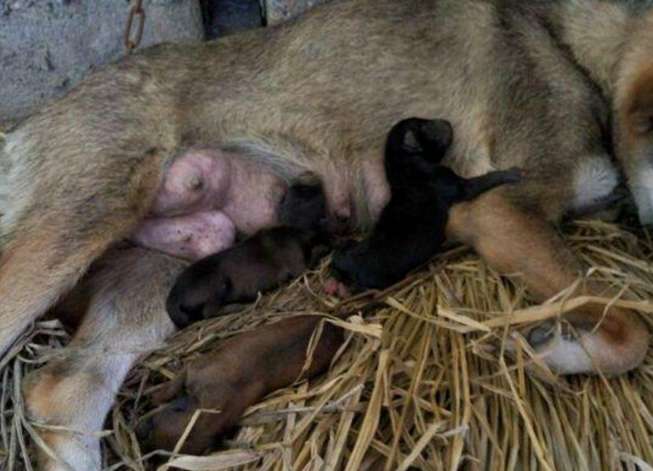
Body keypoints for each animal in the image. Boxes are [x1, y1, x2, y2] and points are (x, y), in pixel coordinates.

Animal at [136, 316, 344, 456]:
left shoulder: (198, 370)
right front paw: (152, 397)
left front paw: (152, 398)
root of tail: (335, 325)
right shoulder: (195, 369)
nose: (139, 432)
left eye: (155, 424)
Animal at [167, 174, 328, 328]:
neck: (290, 228)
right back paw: (240, 306)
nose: (315, 177)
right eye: (307, 192)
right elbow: (310, 261)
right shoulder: (297, 263)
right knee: (209, 311)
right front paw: (325, 246)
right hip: (217, 283)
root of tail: (172, 299)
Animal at [328, 118, 524, 294]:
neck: (403, 170)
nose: (447, 122)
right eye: (426, 127)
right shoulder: (446, 181)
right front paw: (512, 173)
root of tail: (348, 262)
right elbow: (476, 184)